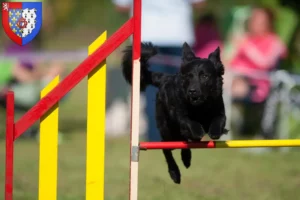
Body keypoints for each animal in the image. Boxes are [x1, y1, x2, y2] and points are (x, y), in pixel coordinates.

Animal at [121, 42, 227, 184]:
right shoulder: (181, 115)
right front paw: (198, 130)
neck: (201, 107)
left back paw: (186, 158)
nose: (192, 91)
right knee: (166, 147)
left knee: (184, 142)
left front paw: (215, 131)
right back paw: (175, 173)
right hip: (169, 132)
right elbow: (189, 121)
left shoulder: (219, 109)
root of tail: (166, 77)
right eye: (188, 76)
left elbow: (219, 119)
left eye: (205, 76)